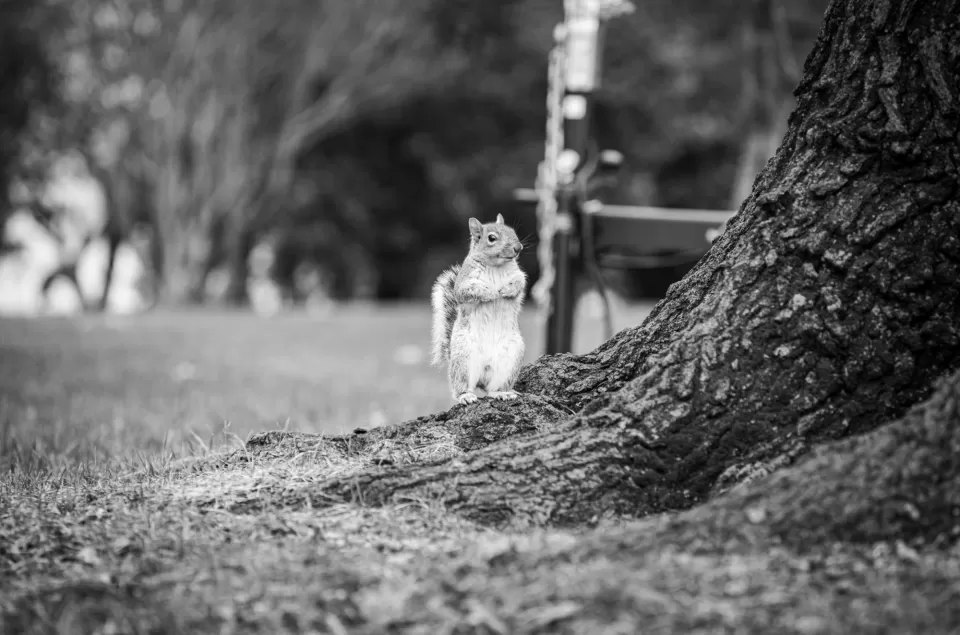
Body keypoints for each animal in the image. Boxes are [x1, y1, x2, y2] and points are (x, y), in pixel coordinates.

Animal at [432, 216, 528, 404]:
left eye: (513, 231)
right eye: (491, 238)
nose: (518, 248)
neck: (496, 266)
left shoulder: (518, 275)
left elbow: (519, 284)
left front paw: (506, 290)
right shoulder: (464, 282)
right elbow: (467, 292)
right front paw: (491, 292)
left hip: (509, 361)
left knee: (491, 390)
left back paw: (502, 393)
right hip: (464, 357)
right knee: (461, 386)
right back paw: (465, 396)